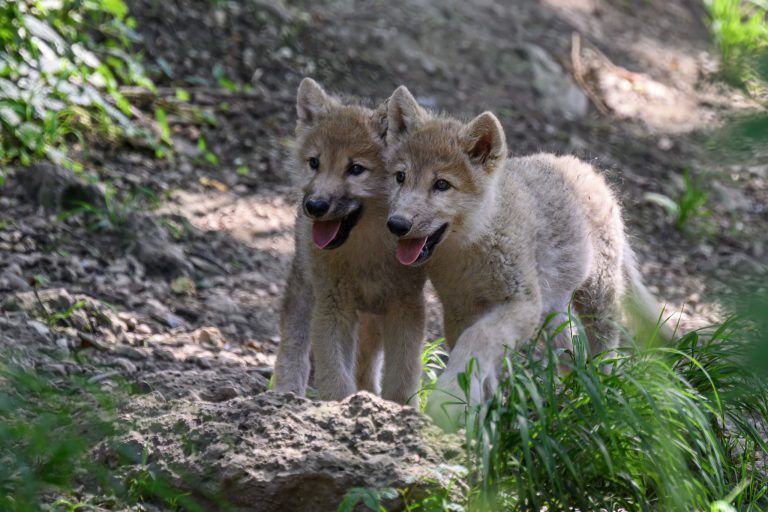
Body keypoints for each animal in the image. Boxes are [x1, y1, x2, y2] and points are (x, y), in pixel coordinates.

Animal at [271, 79, 427, 405]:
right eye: (314, 163)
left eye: (356, 169)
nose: (314, 205)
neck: (367, 253)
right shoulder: (333, 306)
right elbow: (335, 378)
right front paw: (339, 408)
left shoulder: (406, 308)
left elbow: (402, 378)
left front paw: (397, 410)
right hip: (306, 289)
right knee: (294, 345)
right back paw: (286, 394)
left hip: (372, 319)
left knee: (366, 367)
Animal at [383, 86, 672, 429]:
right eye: (400, 177)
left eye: (442, 185)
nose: (397, 224)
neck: (470, 247)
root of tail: (585, 169)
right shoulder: (459, 309)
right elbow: (477, 358)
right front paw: (478, 413)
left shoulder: (521, 303)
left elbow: (477, 341)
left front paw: (448, 402)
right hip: (552, 312)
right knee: (570, 351)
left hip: (596, 299)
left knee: (604, 350)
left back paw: (599, 398)